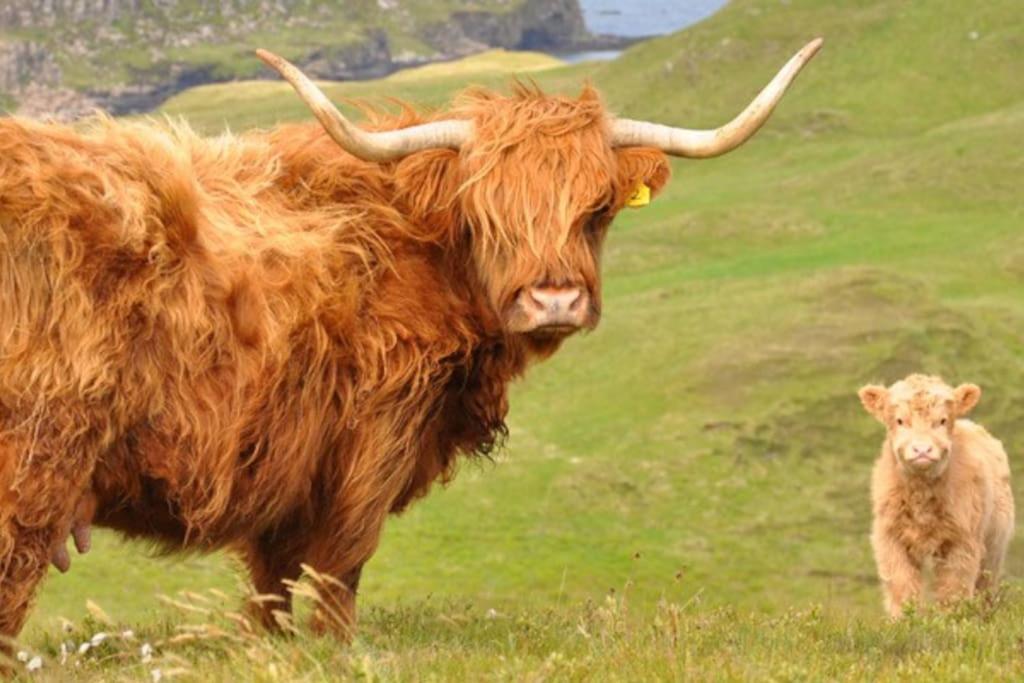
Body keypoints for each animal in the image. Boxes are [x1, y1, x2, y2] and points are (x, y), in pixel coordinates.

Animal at [0, 40, 819, 643]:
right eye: (487, 212)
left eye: (596, 210)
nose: (554, 298)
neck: (415, 242)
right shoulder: (376, 435)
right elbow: (340, 568)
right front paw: (332, 650)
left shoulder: (286, 472)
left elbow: (273, 587)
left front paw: (268, 648)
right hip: (37, 461)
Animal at [856, 376, 1015, 618]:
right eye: (900, 420)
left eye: (942, 420)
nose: (922, 450)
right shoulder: (891, 540)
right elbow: (902, 587)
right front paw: (905, 620)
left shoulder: (962, 543)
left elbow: (953, 590)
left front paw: (952, 620)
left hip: (993, 547)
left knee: (985, 589)